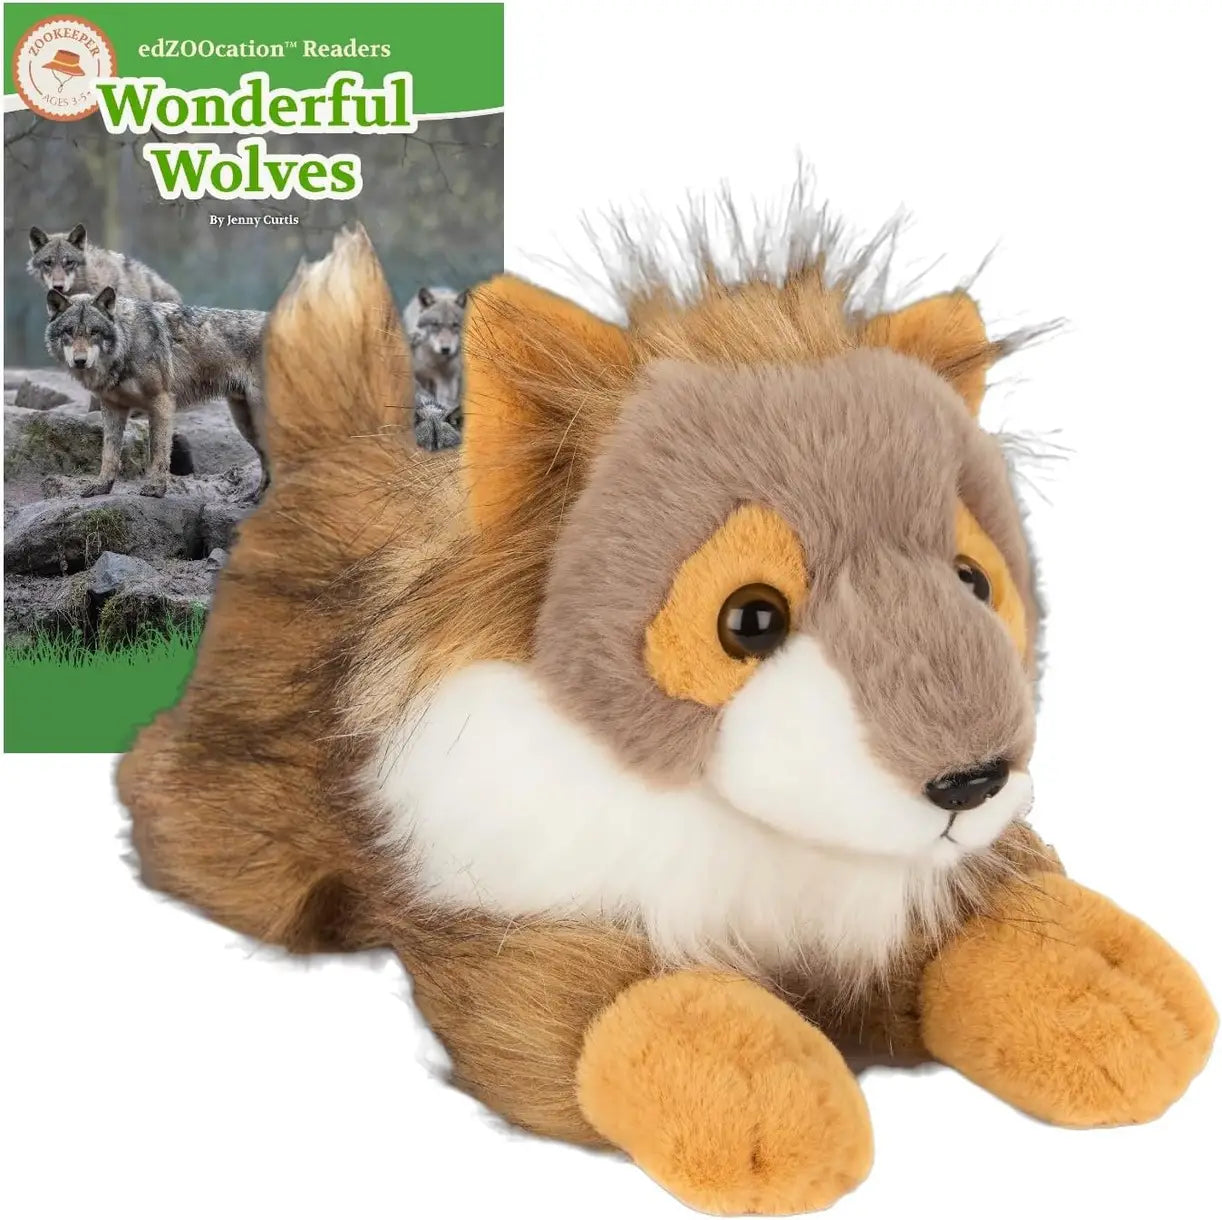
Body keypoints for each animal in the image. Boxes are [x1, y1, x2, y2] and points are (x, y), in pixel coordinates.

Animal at [45, 287, 268, 499]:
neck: (128, 342)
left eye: (94, 332)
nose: (80, 361)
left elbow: (158, 451)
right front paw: (101, 486)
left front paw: (156, 488)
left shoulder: (161, 402)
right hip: (245, 423)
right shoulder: (112, 407)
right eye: (69, 331)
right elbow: (109, 453)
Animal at [403, 285, 467, 418]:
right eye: (435, 324)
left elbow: (443, 403)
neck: (432, 361)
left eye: (455, 325)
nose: (446, 349)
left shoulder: (446, 381)